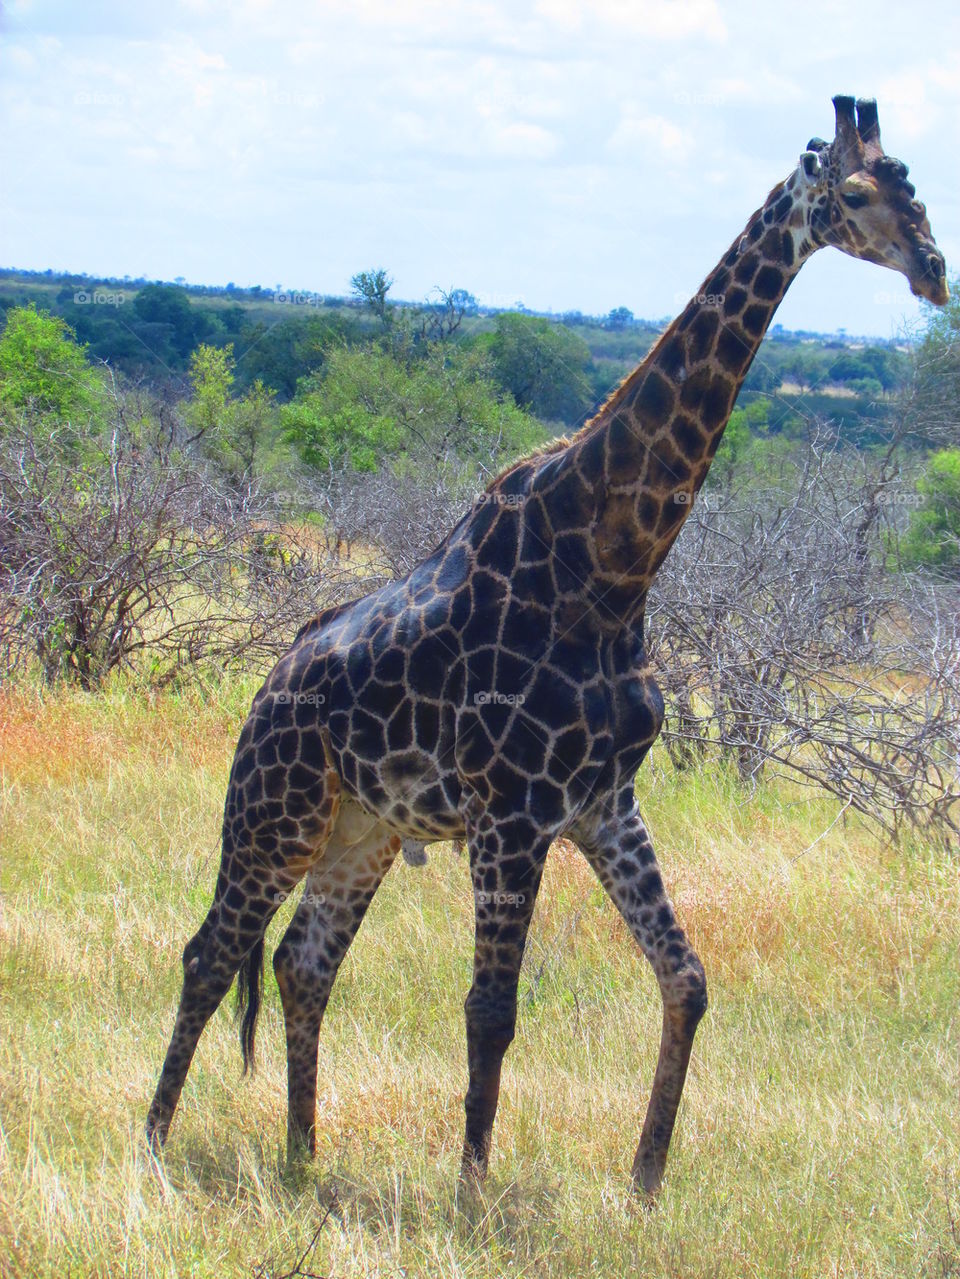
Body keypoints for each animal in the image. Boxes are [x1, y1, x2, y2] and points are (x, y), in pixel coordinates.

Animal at [146, 97, 947, 1196]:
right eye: (859, 193)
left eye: (920, 190)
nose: (934, 270)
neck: (612, 565)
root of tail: (264, 689)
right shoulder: (514, 812)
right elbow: (491, 1010)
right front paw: (472, 1197)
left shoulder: (604, 801)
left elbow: (688, 979)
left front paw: (645, 1185)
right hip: (276, 807)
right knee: (209, 952)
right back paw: (155, 1144)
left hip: (363, 830)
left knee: (302, 962)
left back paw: (304, 1159)